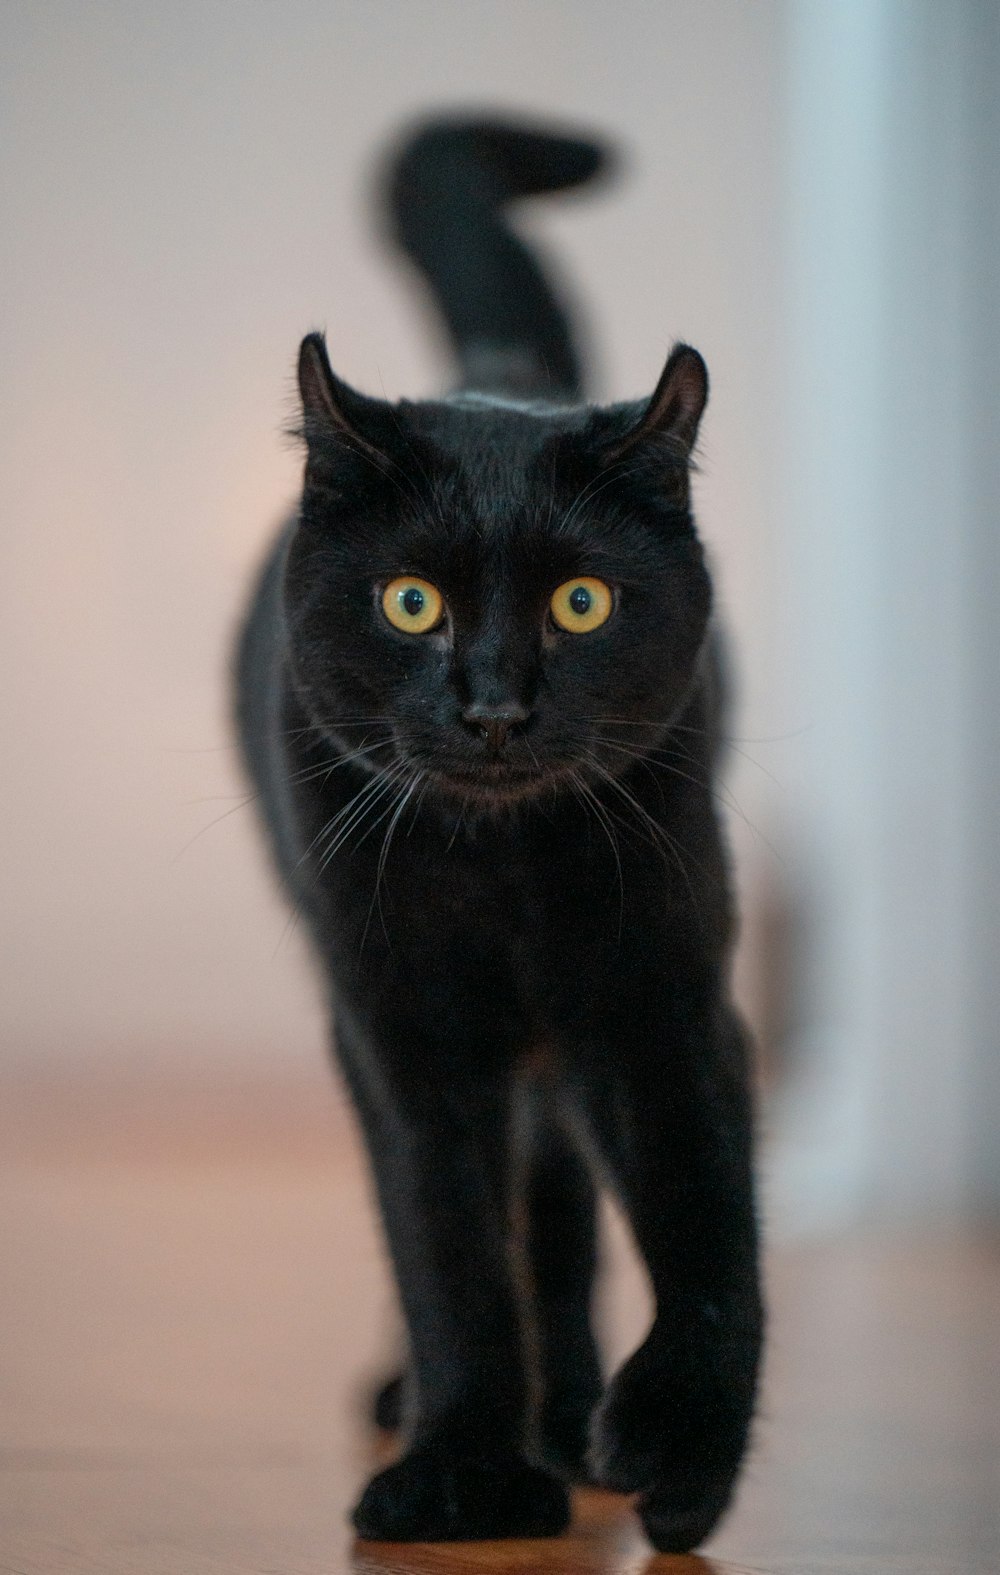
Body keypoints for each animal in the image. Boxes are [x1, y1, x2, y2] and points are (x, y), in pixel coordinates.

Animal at [236, 116, 765, 1556]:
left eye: (582, 603)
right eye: (409, 602)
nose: (491, 706)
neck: (502, 870)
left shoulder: (659, 995)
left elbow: (704, 1215)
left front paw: (677, 1453)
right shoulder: (402, 1031)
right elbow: (449, 1248)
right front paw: (463, 1472)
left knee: (567, 1209)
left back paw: (574, 1406)